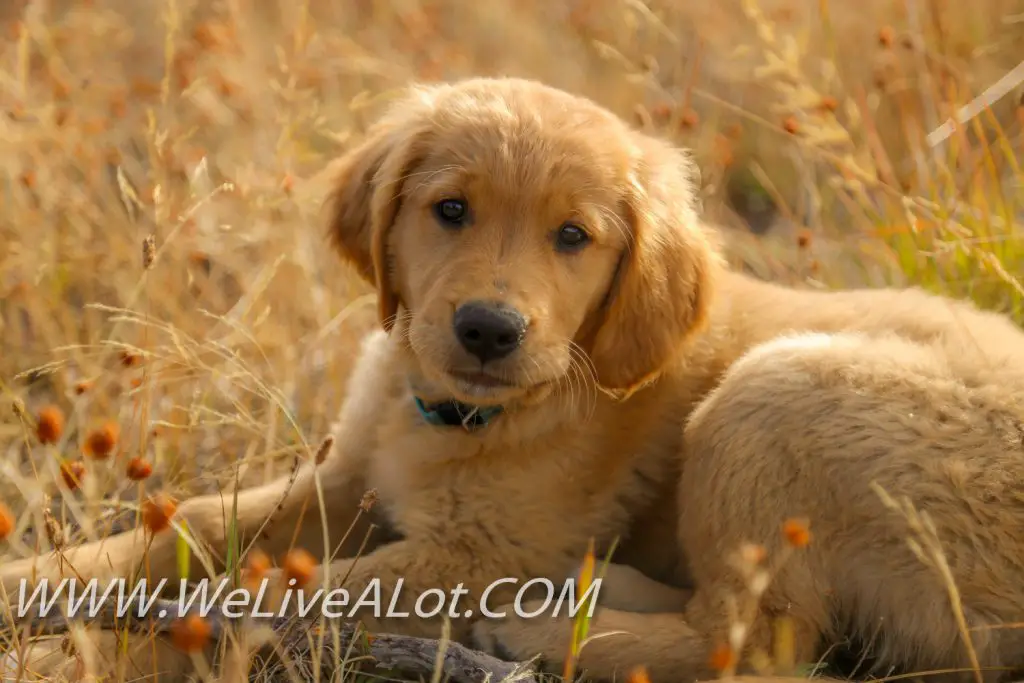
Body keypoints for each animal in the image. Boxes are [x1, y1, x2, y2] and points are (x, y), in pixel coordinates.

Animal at [0, 74, 1019, 683]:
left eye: (573, 236)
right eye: (451, 210)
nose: (489, 328)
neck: (461, 411)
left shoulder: (473, 552)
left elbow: (273, 589)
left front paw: (139, 638)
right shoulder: (346, 475)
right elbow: (193, 527)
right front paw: (41, 584)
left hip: (775, 392)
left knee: (754, 642)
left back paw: (532, 628)